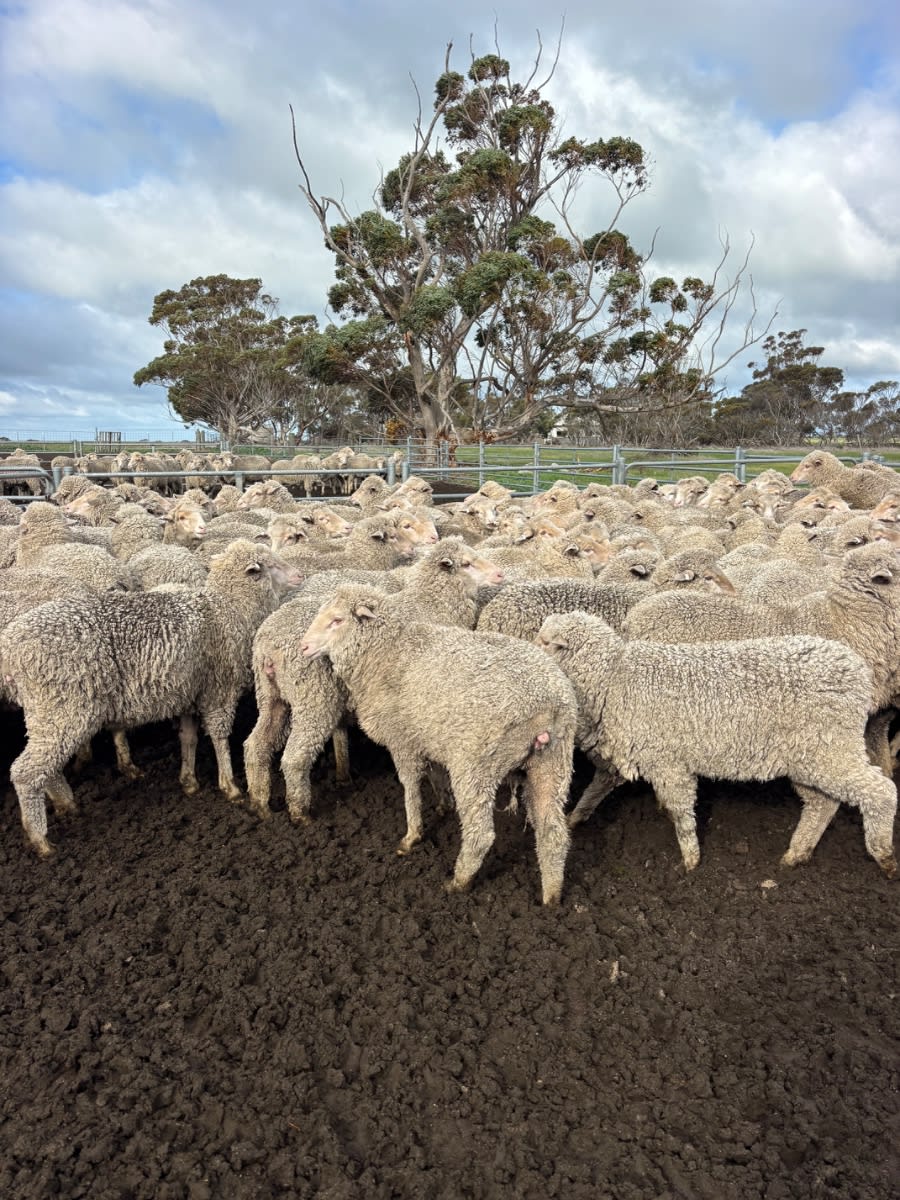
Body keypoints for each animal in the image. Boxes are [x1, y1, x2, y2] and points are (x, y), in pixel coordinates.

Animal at [0, 540, 303, 856]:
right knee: (25, 772)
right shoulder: (219, 690)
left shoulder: (188, 693)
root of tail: (9, 649)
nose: (300, 575)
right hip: (64, 708)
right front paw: (230, 786)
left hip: (45, 713)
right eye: (269, 565)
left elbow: (188, 738)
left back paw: (64, 804)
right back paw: (41, 838)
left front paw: (189, 781)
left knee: (43, 767)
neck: (226, 608)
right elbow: (220, 737)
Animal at [298, 584, 577, 903]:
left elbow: (410, 786)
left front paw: (412, 836)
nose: (303, 647)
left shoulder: (403, 740)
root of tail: (547, 706)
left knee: (480, 834)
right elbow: (435, 774)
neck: (387, 650)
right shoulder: (429, 738)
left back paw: (458, 882)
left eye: (337, 620)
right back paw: (551, 897)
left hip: (476, 766)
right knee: (552, 833)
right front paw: (443, 804)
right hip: (552, 763)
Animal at [537, 612, 897, 875]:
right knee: (823, 803)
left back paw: (883, 854)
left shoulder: (667, 762)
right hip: (810, 756)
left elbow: (682, 812)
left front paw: (690, 860)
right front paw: (576, 818)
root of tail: (854, 668)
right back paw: (797, 853)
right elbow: (600, 786)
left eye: (546, 642)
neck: (613, 678)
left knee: (881, 791)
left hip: (831, 748)